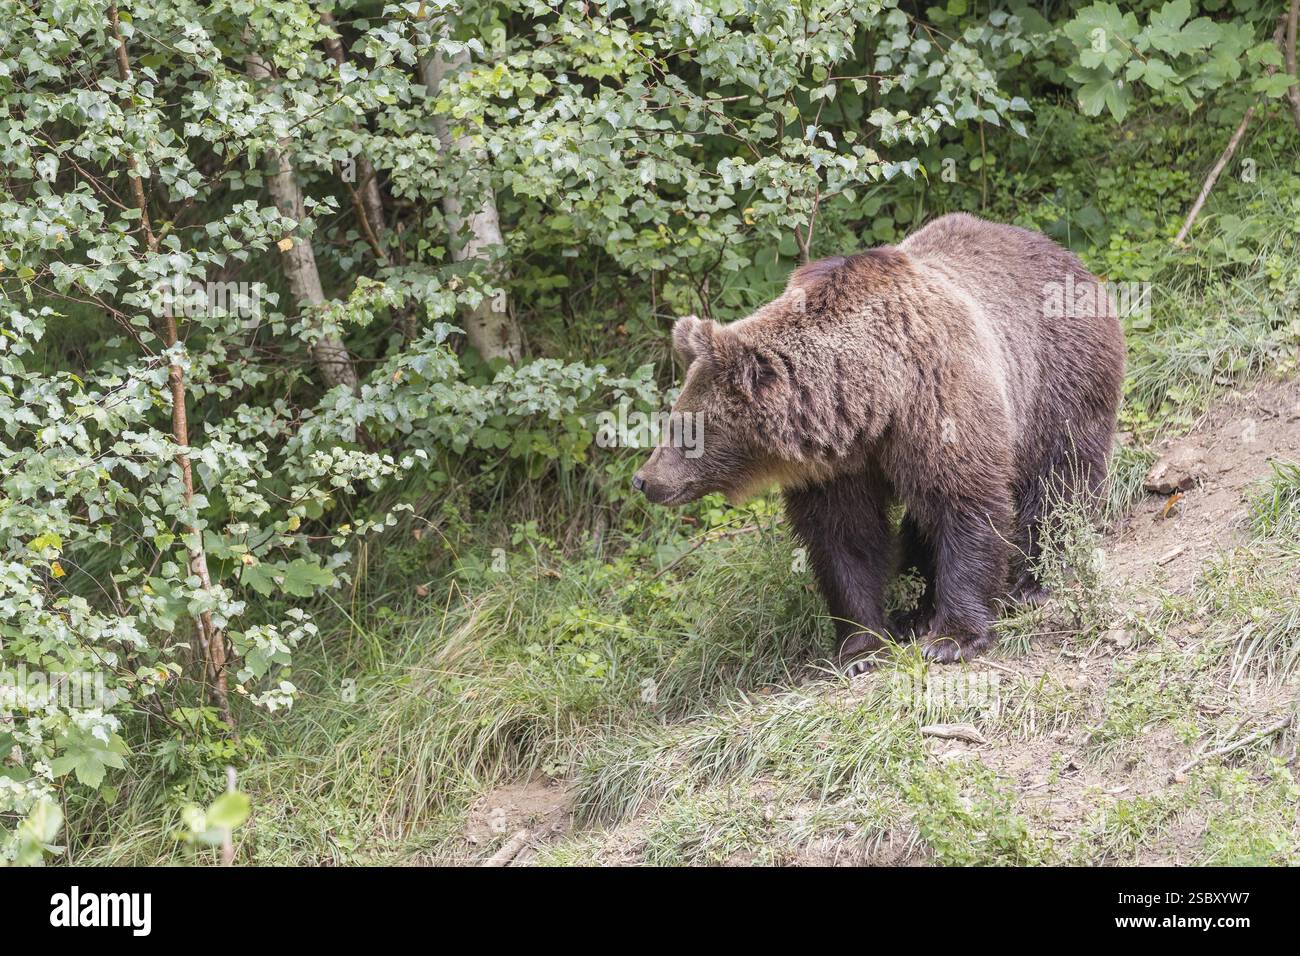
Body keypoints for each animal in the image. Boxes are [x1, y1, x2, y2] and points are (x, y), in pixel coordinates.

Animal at [633, 213, 1125, 667]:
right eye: (672, 421)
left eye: (684, 427)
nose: (644, 479)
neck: (870, 404)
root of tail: (1067, 255)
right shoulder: (836, 467)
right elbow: (845, 538)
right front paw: (862, 645)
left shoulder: (939, 399)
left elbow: (966, 504)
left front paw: (953, 638)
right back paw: (915, 611)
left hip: (1056, 375)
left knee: (1060, 478)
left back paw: (1034, 580)